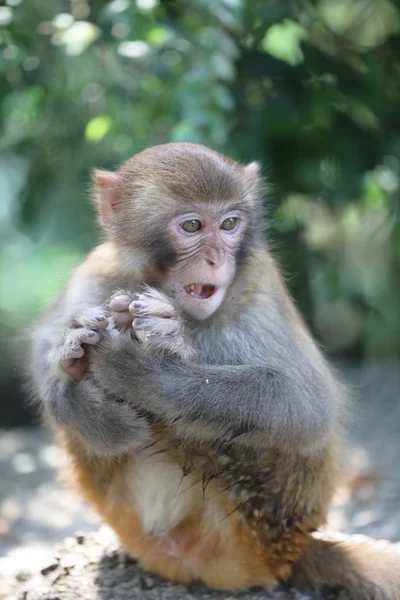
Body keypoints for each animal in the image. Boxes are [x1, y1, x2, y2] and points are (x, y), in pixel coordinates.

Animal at [30, 144, 400, 600]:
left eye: (229, 224)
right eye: (192, 225)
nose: (216, 257)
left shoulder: (259, 283)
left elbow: (305, 406)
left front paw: (143, 365)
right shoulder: (100, 270)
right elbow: (45, 353)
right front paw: (74, 385)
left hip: (253, 523)